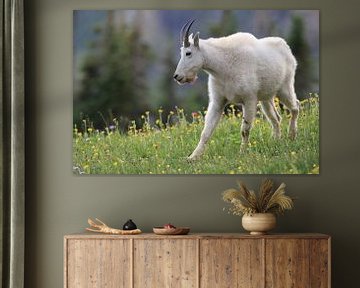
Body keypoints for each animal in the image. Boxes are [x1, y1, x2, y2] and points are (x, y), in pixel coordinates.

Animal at [173, 19, 300, 162]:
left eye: (188, 53)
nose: (177, 76)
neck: (221, 66)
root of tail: (286, 48)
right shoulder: (218, 101)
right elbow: (206, 132)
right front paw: (192, 157)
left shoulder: (249, 99)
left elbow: (244, 130)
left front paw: (242, 153)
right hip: (266, 98)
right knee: (276, 118)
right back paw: (276, 141)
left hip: (285, 87)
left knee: (295, 107)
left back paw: (292, 135)